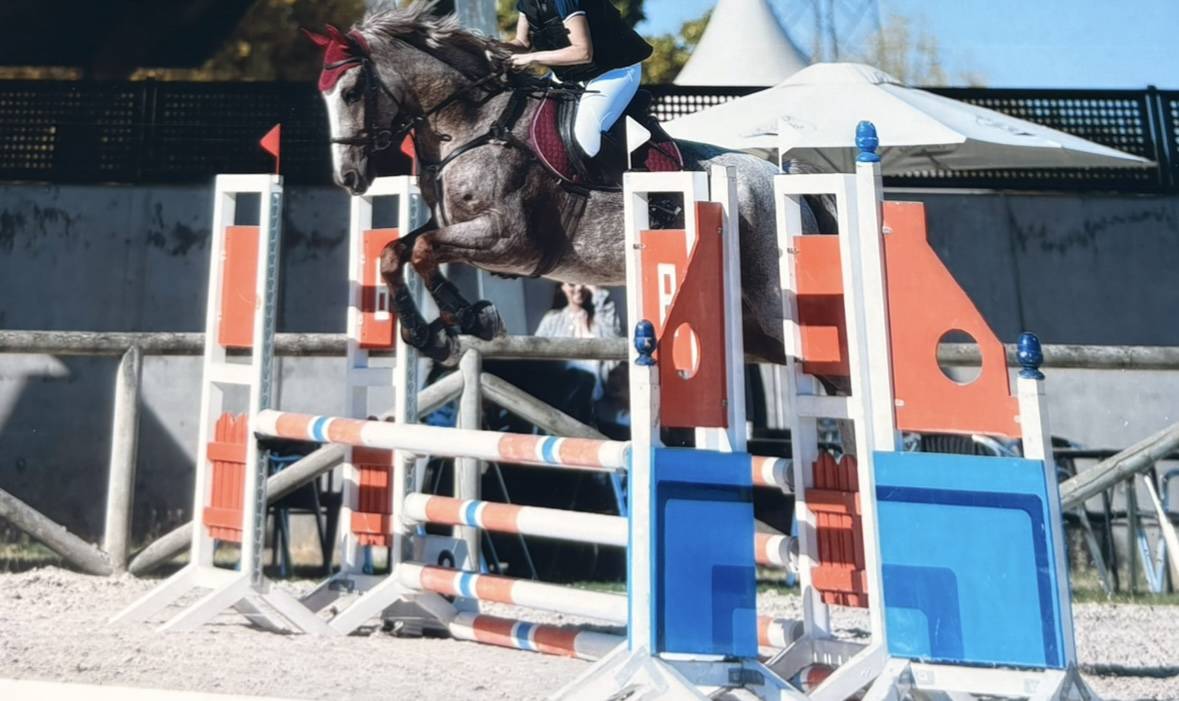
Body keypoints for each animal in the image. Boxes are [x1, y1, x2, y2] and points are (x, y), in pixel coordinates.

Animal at [307, 2, 828, 365]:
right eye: (325, 95)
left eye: (351, 91)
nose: (348, 177)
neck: (473, 123)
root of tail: (780, 177)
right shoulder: (455, 225)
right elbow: (394, 252)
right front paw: (427, 334)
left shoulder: (511, 241)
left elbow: (421, 251)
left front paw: (472, 317)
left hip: (772, 303)